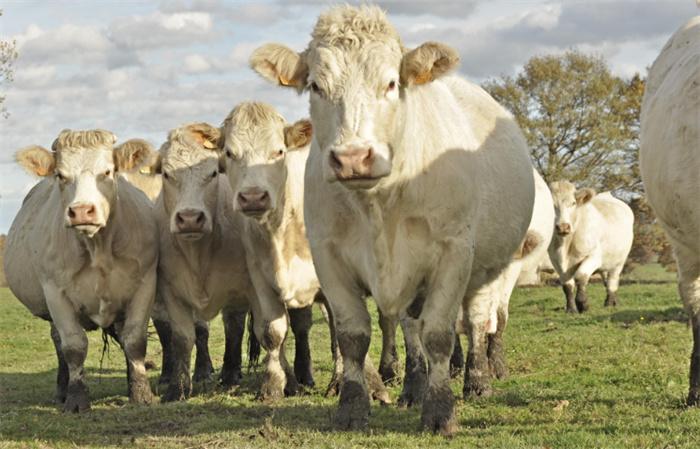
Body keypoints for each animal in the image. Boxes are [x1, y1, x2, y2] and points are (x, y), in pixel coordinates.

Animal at [4, 128, 158, 412]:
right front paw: (76, 398)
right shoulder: (55, 293)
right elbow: (74, 347)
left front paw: (141, 393)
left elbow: (134, 341)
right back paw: (62, 391)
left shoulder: (146, 284)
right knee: (59, 342)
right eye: (61, 175)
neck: (98, 249)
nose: (82, 211)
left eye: (108, 171)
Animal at [221, 102, 392, 402]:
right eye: (229, 153)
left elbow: (347, 328)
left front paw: (369, 384)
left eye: (279, 151)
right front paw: (273, 386)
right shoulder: (260, 279)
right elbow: (272, 332)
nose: (253, 197)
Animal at [252, 1, 536, 432]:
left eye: (390, 83)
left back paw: (477, 382)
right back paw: (414, 389)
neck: (379, 206)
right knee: (411, 326)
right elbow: (353, 337)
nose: (353, 157)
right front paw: (353, 408)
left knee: (474, 321)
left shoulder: (454, 253)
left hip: (486, 269)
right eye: (316, 86)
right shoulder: (329, 258)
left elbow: (439, 335)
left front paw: (440, 412)